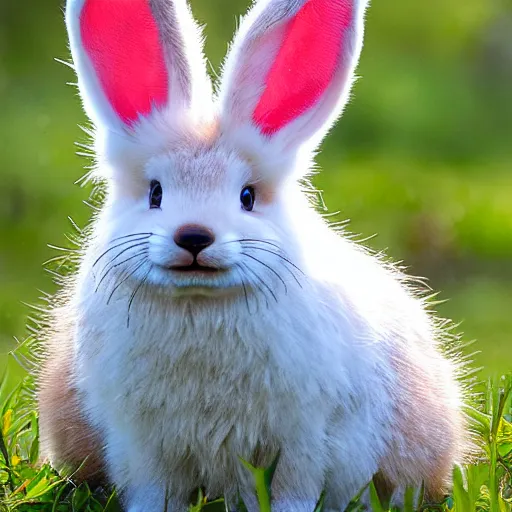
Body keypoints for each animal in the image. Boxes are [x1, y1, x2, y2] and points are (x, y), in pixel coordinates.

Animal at [37, 0, 472, 510]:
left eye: (247, 197)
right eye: (155, 193)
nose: (194, 236)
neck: (201, 302)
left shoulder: (304, 438)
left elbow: (293, 490)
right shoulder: (142, 445)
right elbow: (154, 490)